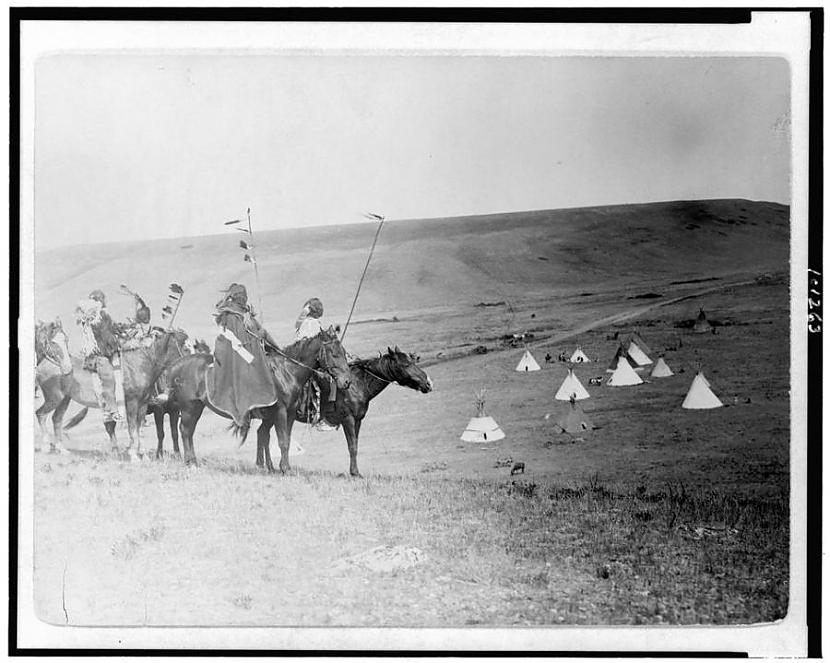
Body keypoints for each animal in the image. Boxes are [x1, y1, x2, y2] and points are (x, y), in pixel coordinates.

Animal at [169, 326, 352, 472]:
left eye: (343, 353)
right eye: (334, 354)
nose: (347, 382)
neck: (287, 372)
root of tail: (177, 364)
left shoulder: (290, 413)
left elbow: (283, 439)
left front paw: (282, 467)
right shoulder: (280, 412)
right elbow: (282, 441)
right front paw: (284, 469)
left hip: (196, 408)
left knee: (189, 432)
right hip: (189, 408)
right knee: (185, 430)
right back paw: (190, 463)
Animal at [296, 348, 432, 478]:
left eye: (414, 361)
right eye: (406, 364)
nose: (428, 383)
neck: (356, 385)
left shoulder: (357, 420)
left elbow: (355, 444)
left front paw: (355, 472)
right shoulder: (348, 420)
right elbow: (352, 447)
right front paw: (354, 473)